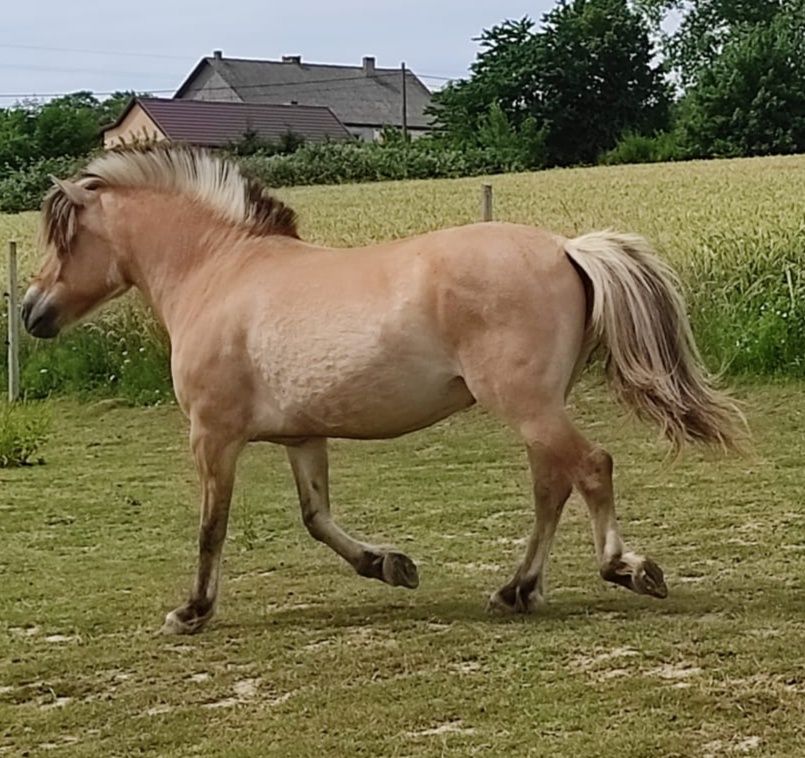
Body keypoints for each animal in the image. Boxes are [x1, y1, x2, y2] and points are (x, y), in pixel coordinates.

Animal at [23, 144, 740, 636]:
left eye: (64, 236)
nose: (32, 312)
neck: (217, 273)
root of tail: (567, 248)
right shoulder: (302, 436)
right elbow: (316, 518)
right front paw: (391, 565)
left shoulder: (213, 435)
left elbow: (212, 526)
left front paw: (191, 611)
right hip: (535, 407)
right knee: (551, 486)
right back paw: (515, 591)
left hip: (525, 403)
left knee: (589, 466)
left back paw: (626, 569)